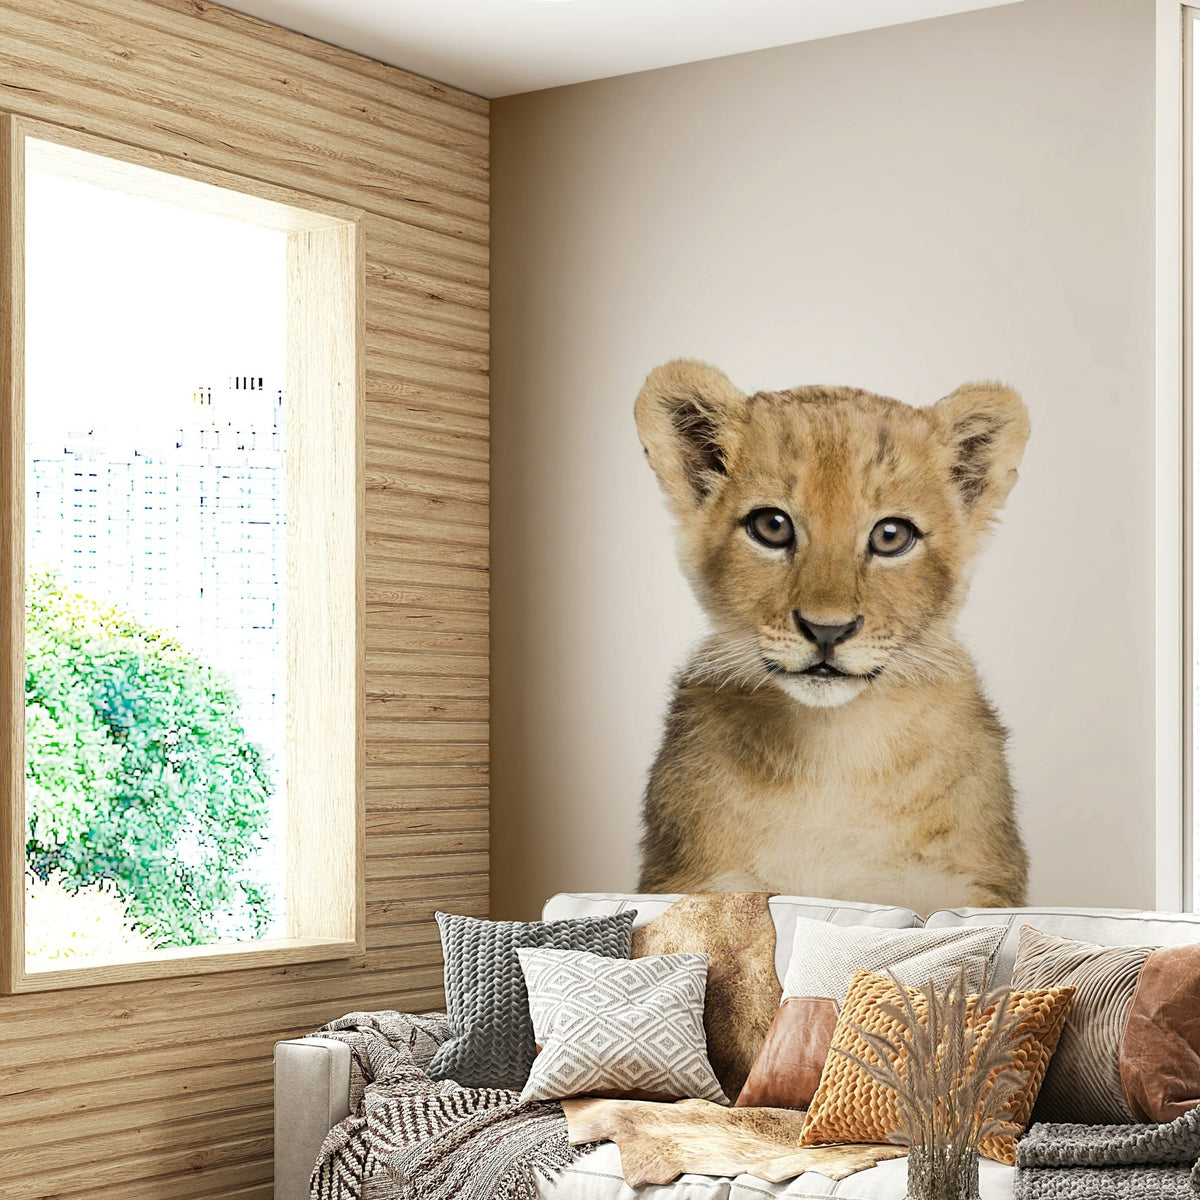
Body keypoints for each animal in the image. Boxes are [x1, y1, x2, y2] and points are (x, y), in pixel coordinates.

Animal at [635, 360, 1030, 915]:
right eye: (772, 526)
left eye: (891, 536)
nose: (827, 630)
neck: (832, 754)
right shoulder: (693, 875)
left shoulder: (973, 881)